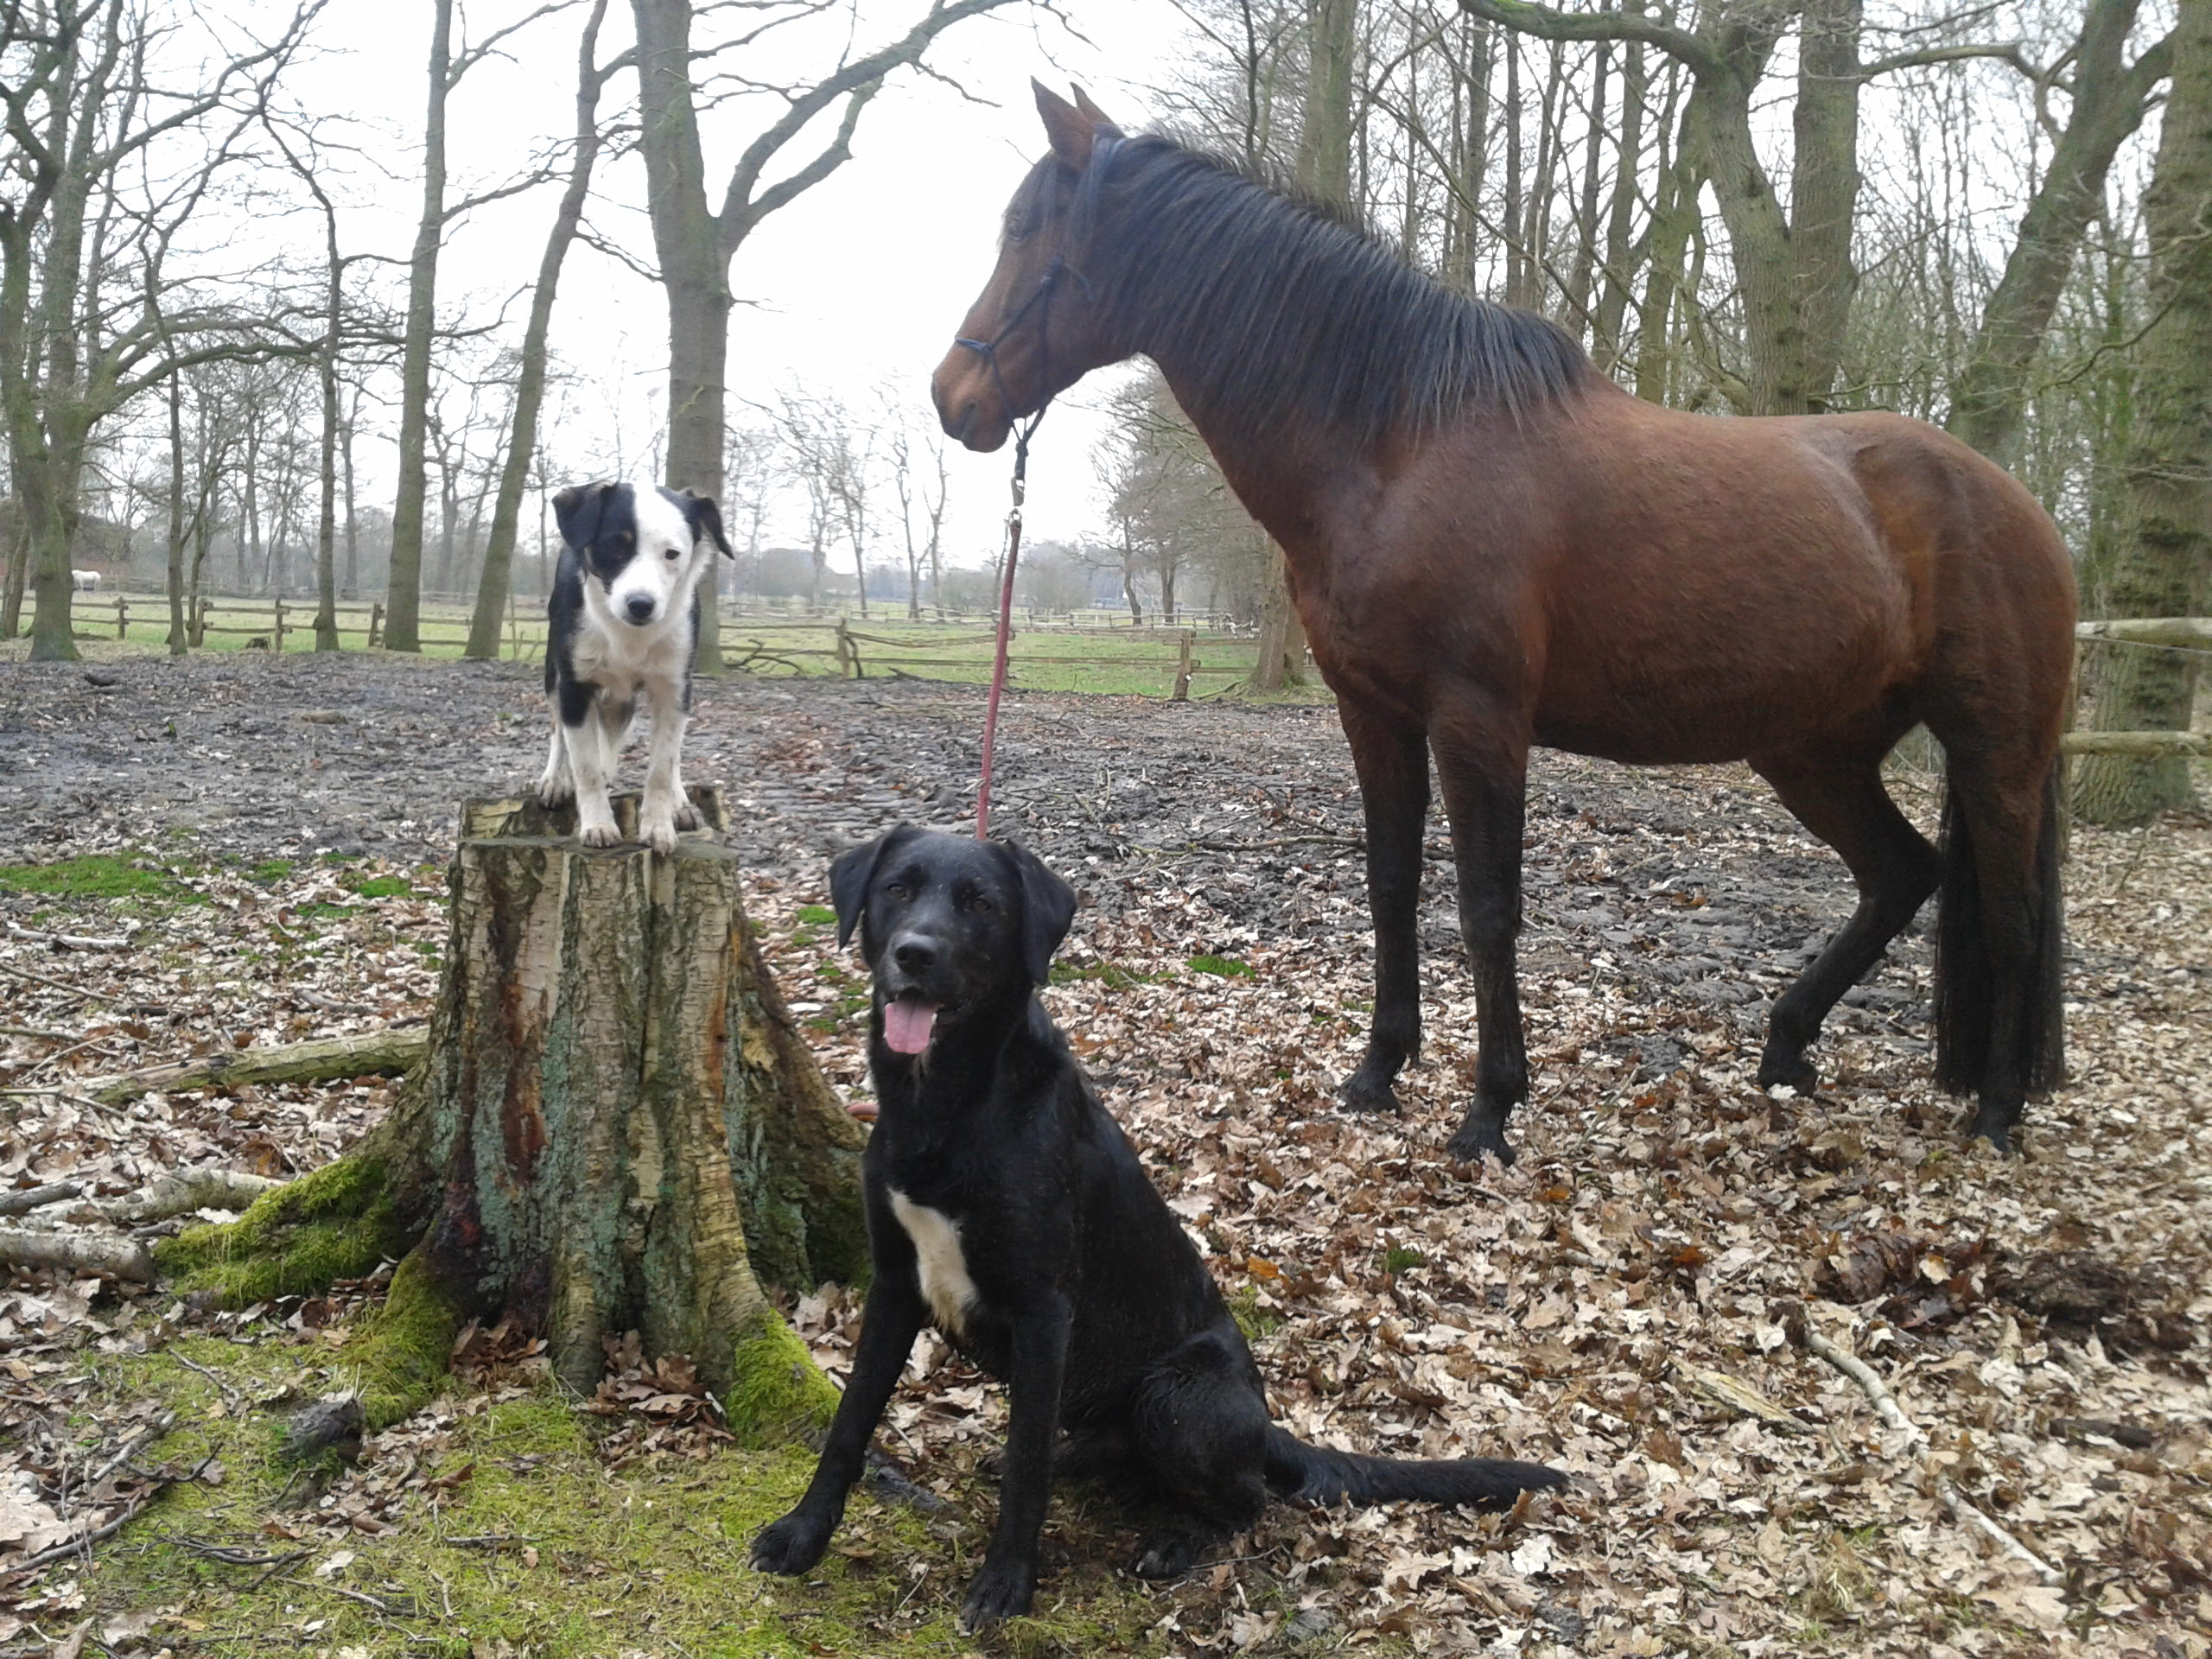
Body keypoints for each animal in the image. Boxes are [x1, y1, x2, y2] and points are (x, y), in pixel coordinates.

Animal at [537, 473, 729, 849]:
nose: (641, 604)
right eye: (616, 546)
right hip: (553, 671)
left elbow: (662, 767)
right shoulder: (574, 685)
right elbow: (584, 766)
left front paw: (659, 825)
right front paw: (597, 824)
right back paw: (555, 779)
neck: (626, 635)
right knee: (558, 729)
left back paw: (679, 801)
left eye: (672, 554)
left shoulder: (674, 688)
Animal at [752, 827, 1566, 1628]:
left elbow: (1023, 1475)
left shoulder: (1044, 1309)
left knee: (1247, 1500)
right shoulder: (894, 1281)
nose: (914, 954)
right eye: (897, 889)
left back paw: (1177, 1539)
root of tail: (1265, 1424)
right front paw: (803, 1533)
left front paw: (1006, 1582)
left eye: (980, 904)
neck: (946, 1105)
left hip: (1174, 1395)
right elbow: (851, 1422)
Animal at [933, 84, 2070, 1159]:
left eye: (1028, 225)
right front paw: (1377, 1072)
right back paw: (1787, 1049)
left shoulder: (1477, 719)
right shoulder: (1373, 713)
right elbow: (1392, 884)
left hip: (1993, 749)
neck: (1398, 443)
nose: (954, 394)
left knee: (2010, 919)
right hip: (1812, 750)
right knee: (1901, 874)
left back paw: (1997, 1112)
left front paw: (1489, 1110)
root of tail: (2015, 503)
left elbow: (1486, 910)